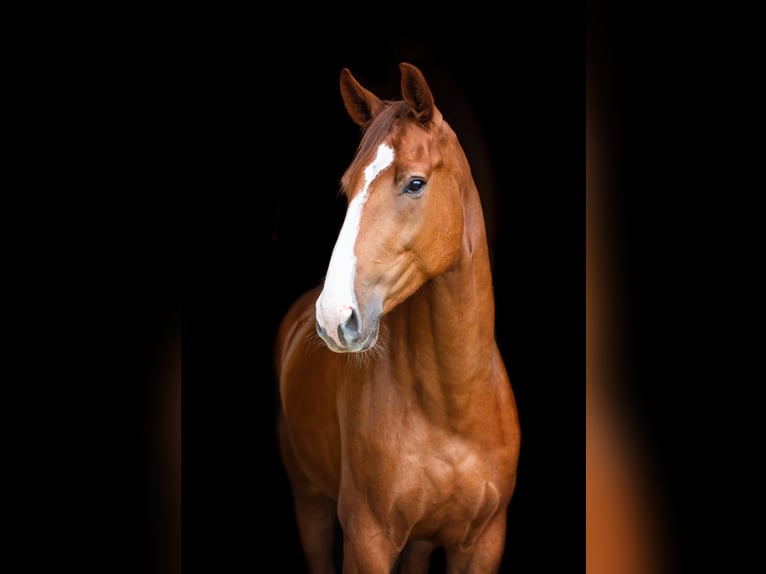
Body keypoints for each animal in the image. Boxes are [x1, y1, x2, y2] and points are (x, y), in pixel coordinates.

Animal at [275, 62, 521, 573]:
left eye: (415, 183)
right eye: (347, 187)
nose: (334, 316)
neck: (452, 411)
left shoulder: (484, 540)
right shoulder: (368, 539)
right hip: (310, 503)